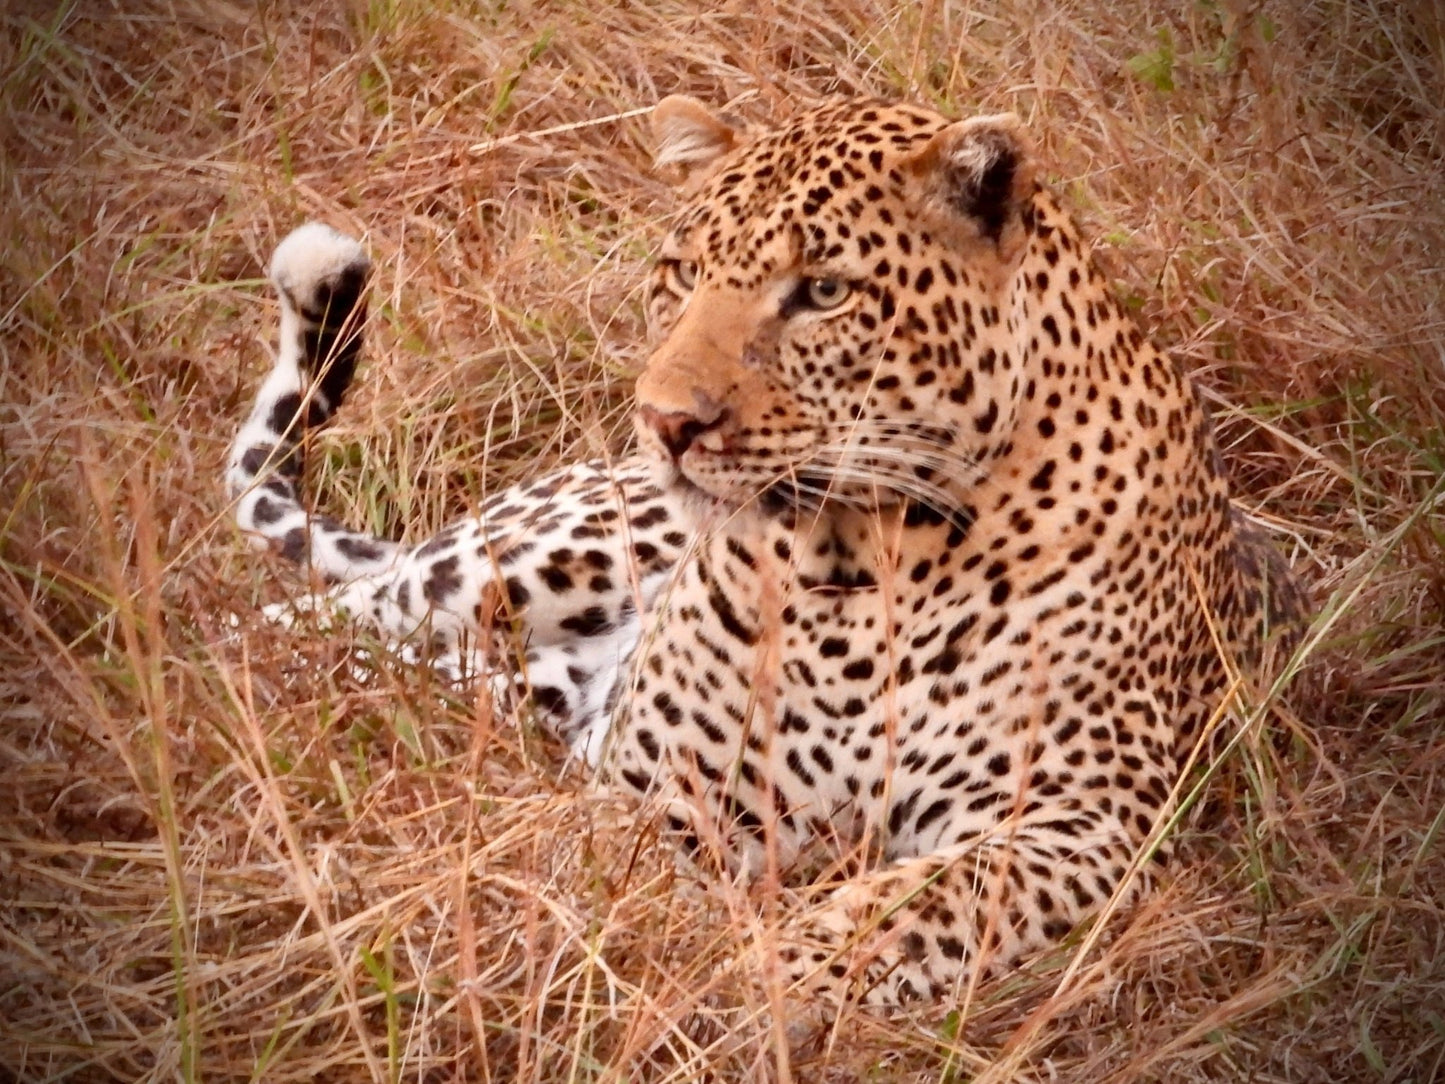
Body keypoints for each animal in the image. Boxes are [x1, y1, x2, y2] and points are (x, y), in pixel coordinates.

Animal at [228, 91, 1312, 1011]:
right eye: (678, 277)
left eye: (822, 291)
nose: (665, 421)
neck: (858, 568)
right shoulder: (653, 785)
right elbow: (597, 870)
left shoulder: (1079, 820)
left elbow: (908, 907)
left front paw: (756, 977)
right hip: (516, 563)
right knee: (281, 626)